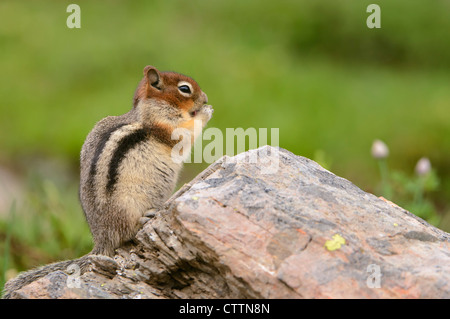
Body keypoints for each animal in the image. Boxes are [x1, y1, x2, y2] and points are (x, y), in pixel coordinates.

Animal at [2, 66, 213, 298]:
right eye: (184, 89)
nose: (205, 97)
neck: (150, 108)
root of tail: (102, 239)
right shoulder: (166, 125)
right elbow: (186, 132)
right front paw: (206, 111)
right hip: (126, 207)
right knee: (126, 232)